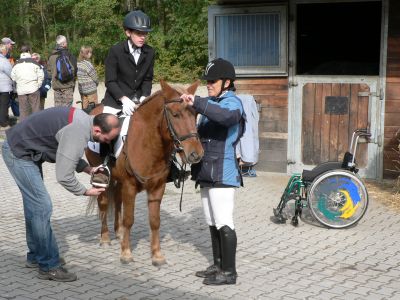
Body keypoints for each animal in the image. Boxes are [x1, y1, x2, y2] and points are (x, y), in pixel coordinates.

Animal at [86, 79, 203, 264]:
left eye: (196, 114)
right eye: (175, 114)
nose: (195, 154)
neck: (148, 143)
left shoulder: (157, 188)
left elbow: (155, 221)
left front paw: (157, 255)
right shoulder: (130, 186)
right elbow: (129, 219)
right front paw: (126, 253)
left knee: (117, 200)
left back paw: (119, 233)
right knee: (103, 202)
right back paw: (105, 238)